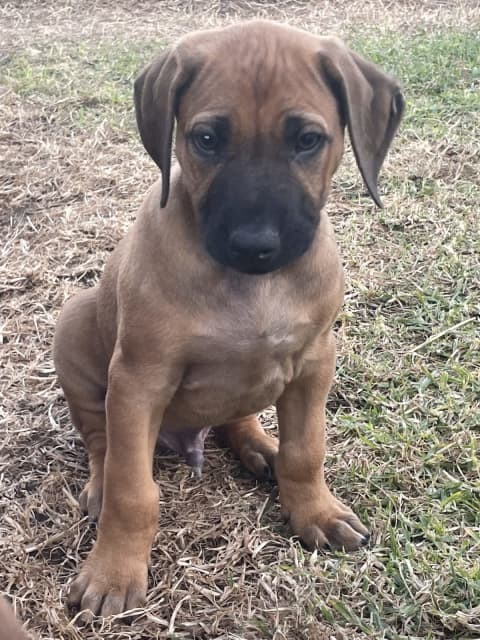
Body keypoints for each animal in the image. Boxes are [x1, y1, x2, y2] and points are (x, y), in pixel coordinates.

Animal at [53, 20, 404, 616]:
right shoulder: (138, 380)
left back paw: (261, 447)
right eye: (208, 140)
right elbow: (131, 489)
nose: (255, 245)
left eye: (307, 140)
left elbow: (307, 450)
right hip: (74, 326)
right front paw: (114, 571)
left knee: (237, 419)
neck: (251, 285)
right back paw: (100, 483)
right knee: (102, 442)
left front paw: (314, 510)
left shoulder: (315, 362)